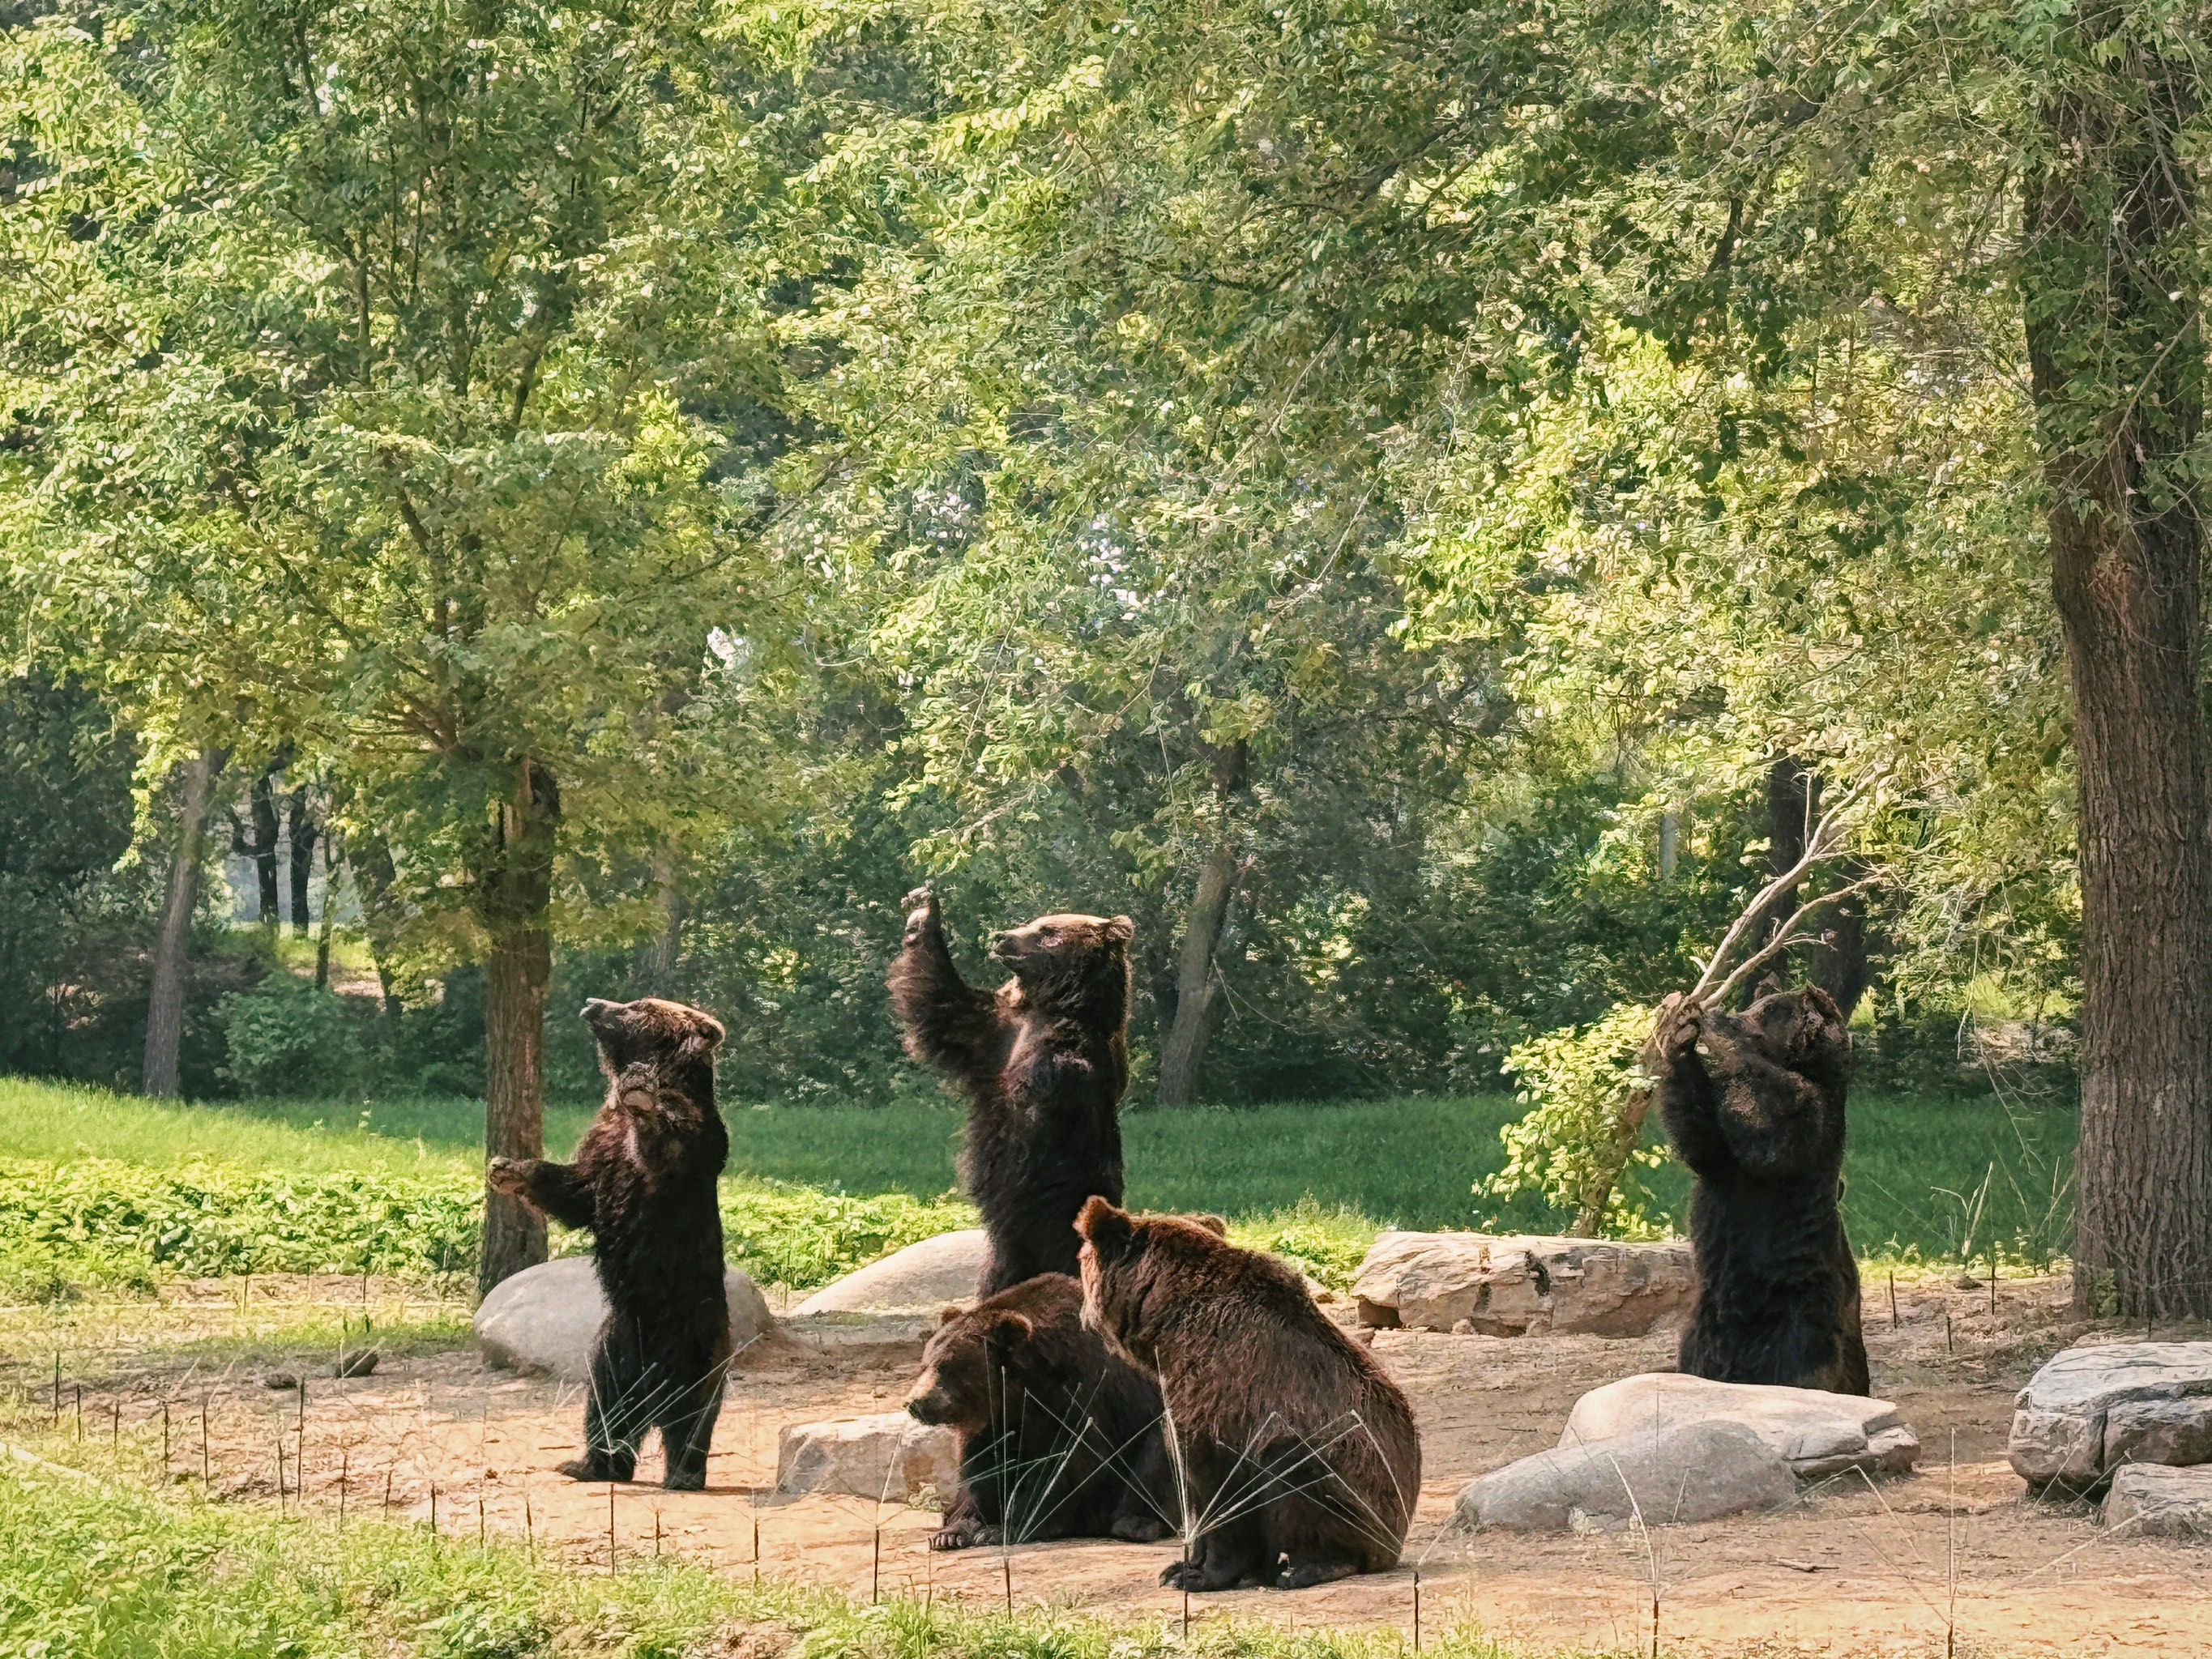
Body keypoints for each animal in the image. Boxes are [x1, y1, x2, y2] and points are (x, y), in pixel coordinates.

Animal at [489, 1000, 729, 1495]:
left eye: (639, 1008)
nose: (594, 1004)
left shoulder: (688, 1140)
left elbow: (666, 1144)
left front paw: (642, 1096)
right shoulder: (602, 1145)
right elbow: (577, 1191)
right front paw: (508, 1169)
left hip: (693, 1335)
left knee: (692, 1409)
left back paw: (684, 1473)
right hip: (617, 1340)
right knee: (607, 1399)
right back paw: (592, 1463)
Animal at [880, 898, 1132, 1300]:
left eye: (1047, 930)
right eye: (1034, 922)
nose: (1002, 937)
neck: (1050, 1010)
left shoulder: (1070, 1068)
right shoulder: (995, 1033)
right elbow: (941, 1004)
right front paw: (922, 914)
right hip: (1010, 1254)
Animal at [898, 1282, 1176, 1557]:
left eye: (947, 1367)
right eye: (925, 1364)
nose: (914, 1403)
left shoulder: (1082, 1396)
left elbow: (1064, 1464)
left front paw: (1007, 1528)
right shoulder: (993, 1423)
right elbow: (980, 1467)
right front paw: (952, 1532)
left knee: (1159, 1451)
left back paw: (1137, 1523)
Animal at [1079, 1194, 1424, 1601]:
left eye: (1080, 1261)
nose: (1083, 1315)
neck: (1168, 1328)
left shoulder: (1225, 1399)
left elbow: (1225, 1496)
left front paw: (1205, 1576)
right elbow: (1192, 1491)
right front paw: (1180, 1566)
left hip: (1360, 1492)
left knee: (1293, 1470)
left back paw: (1309, 1568)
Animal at [1646, 986, 1867, 1406]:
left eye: (1767, 1010)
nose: (1732, 1011)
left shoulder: (1808, 1119)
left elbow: (1770, 1131)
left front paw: (1716, 1028)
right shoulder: (1723, 1164)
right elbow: (1700, 1135)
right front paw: (1679, 1034)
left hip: (1801, 1314)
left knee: (1800, 1368)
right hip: (1704, 1327)